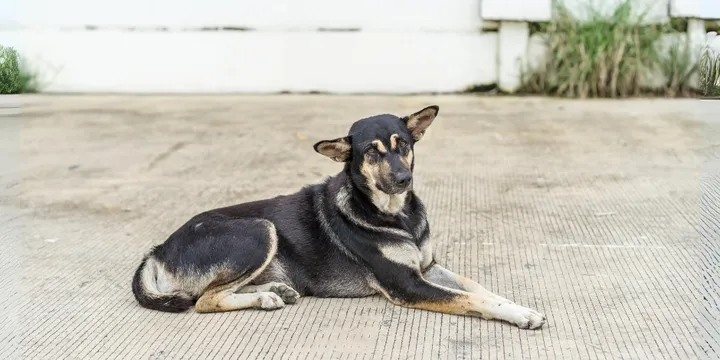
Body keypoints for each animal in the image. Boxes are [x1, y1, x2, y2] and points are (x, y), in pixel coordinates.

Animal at [131, 106, 544, 330]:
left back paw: (274, 290)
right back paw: (264, 297)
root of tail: (159, 248)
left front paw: (520, 307)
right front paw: (518, 315)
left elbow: (479, 288)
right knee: (204, 299)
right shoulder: (407, 285)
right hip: (259, 230)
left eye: (404, 145)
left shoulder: (427, 268)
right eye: (371, 153)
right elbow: (470, 298)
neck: (396, 214)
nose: (403, 179)